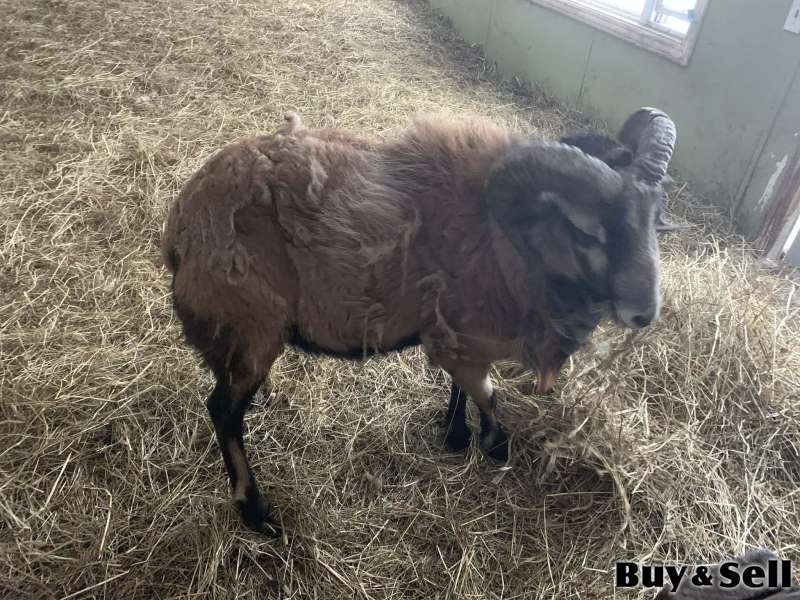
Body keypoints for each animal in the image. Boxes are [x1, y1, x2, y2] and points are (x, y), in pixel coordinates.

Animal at [162, 107, 676, 534]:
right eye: (588, 232)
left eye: (655, 220)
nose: (645, 312)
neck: (505, 242)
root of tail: (182, 222)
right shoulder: (460, 340)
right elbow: (489, 396)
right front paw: (494, 447)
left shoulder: (459, 336)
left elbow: (463, 388)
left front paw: (454, 433)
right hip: (252, 327)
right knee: (223, 412)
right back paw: (256, 511)